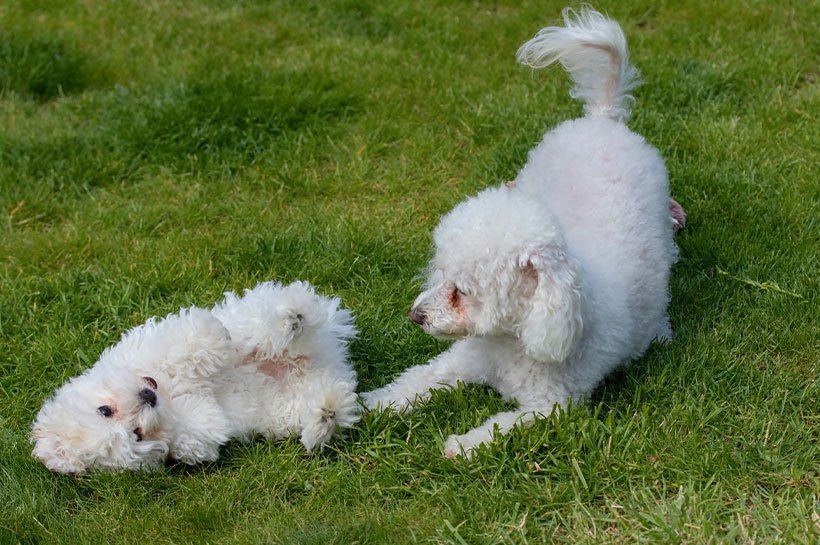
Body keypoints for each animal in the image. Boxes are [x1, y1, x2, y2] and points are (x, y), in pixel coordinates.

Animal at [32, 280, 358, 472]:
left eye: (104, 410)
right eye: (137, 435)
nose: (147, 398)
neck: (167, 394)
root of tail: (327, 354)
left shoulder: (146, 345)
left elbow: (183, 346)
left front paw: (210, 341)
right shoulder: (182, 433)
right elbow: (199, 430)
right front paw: (207, 413)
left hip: (254, 317)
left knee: (265, 322)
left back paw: (290, 317)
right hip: (291, 404)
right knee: (327, 396)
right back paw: (325, 415)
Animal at [364, 9, 680, 460]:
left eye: (462, 290)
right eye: (439, 274)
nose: (415, 315)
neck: (514, 337)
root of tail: (602, 118)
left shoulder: (552, 406)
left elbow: (500, 427)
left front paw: (460, 445)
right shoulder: (462, 361)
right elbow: (417, 379)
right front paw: (371, 404)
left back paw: (657, 333)